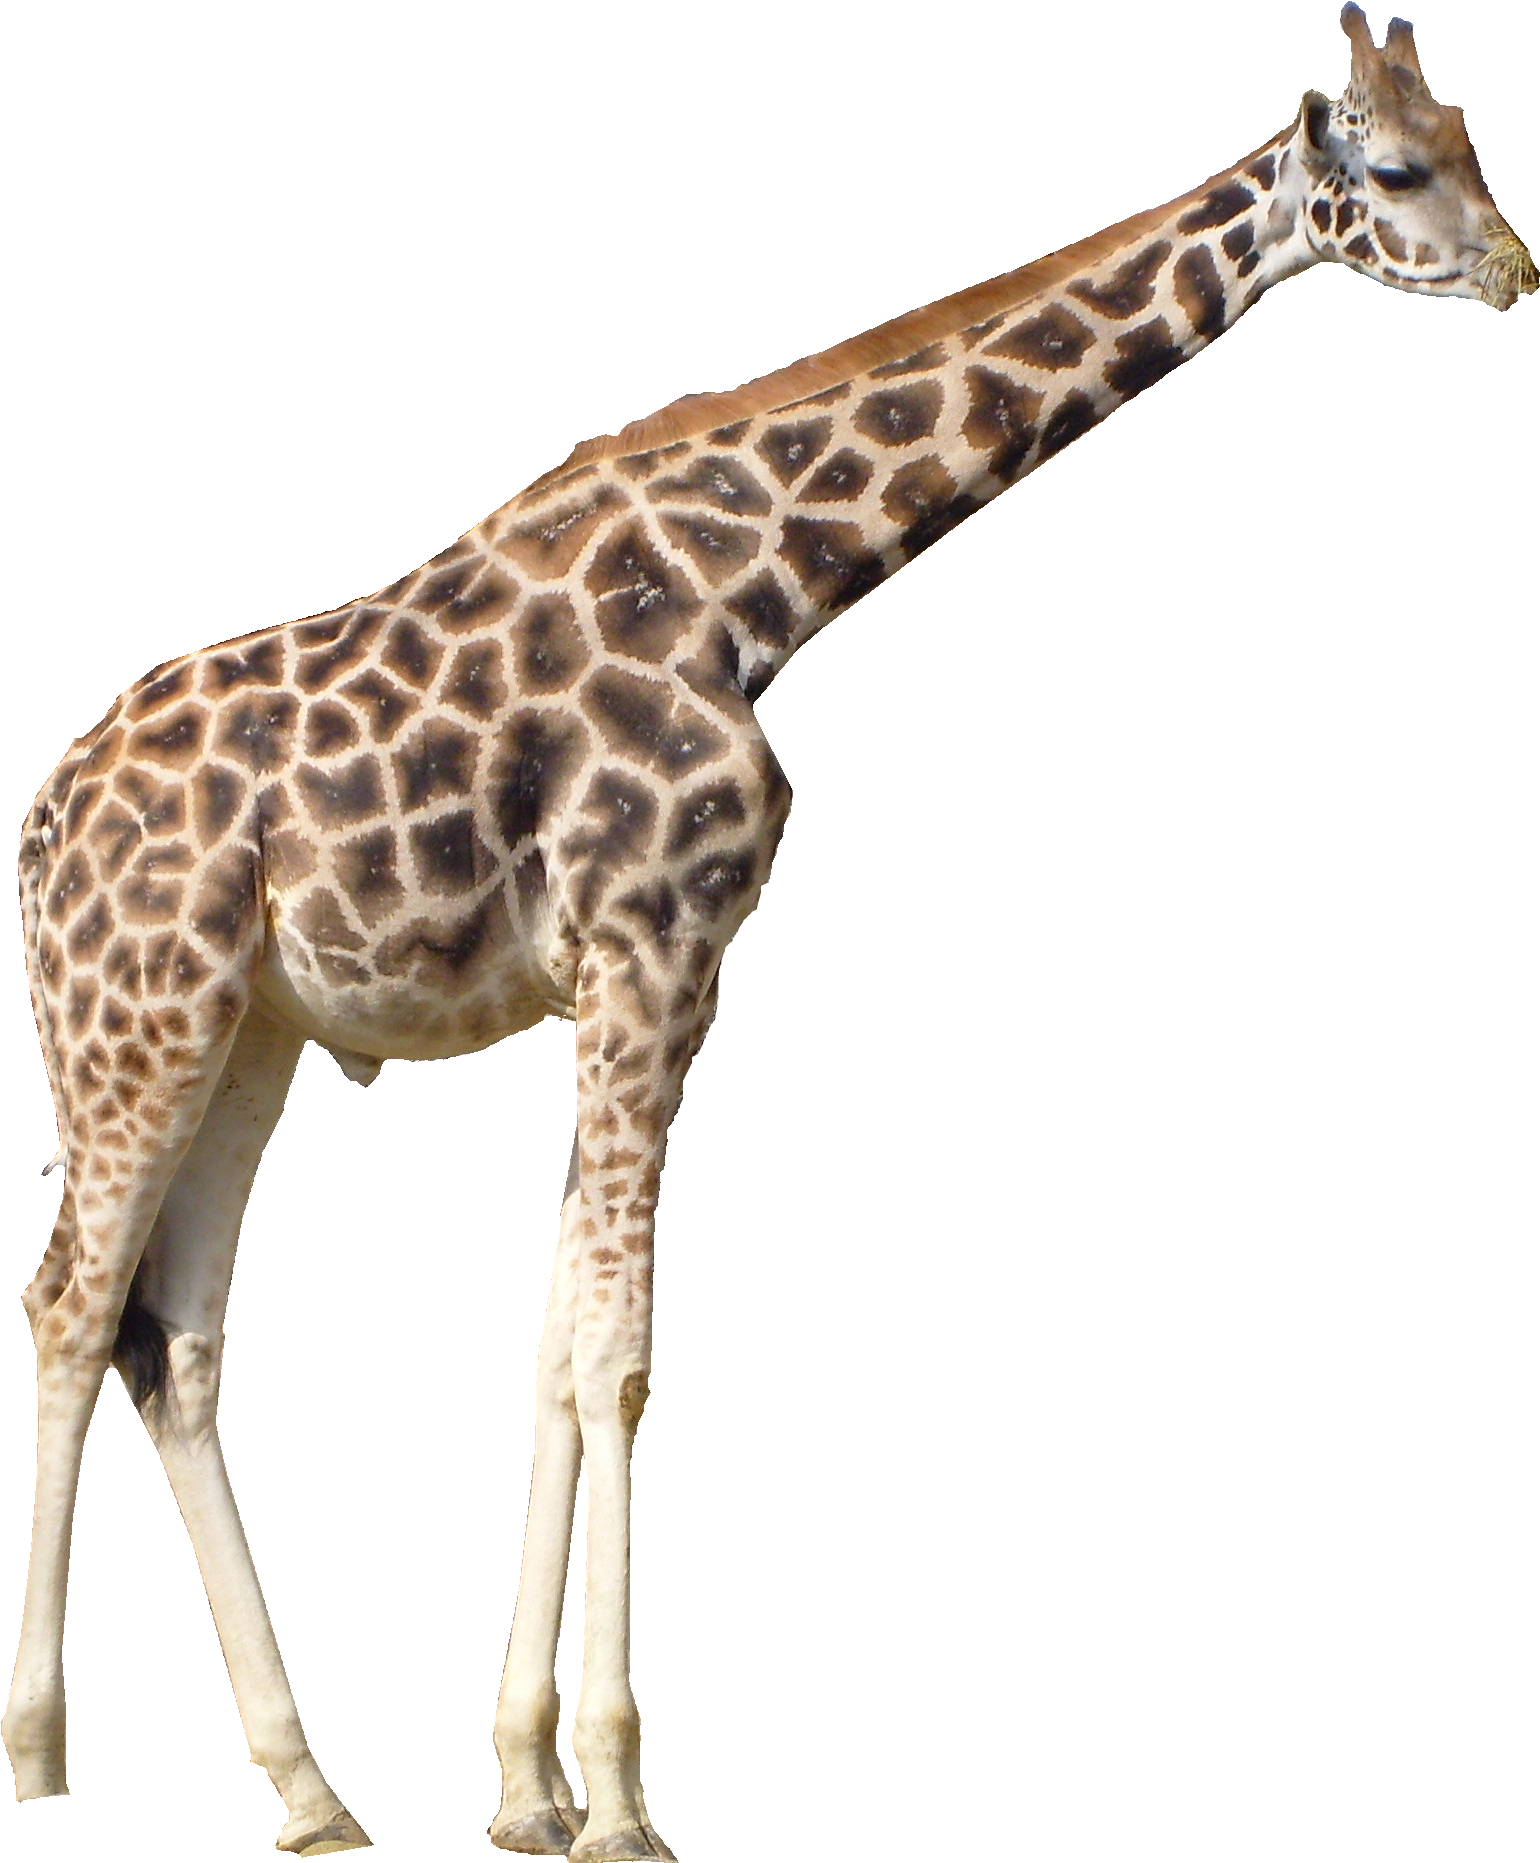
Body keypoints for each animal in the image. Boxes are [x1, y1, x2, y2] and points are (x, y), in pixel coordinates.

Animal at [5, 7, 1530, 1858]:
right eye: (1392, 166)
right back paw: (38, 1757)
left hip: (251, 1035)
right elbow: (617, 1358)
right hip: (132, 1017)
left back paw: (313, 1788)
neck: (758, 589)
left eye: (1467, 138)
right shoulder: (644, 951)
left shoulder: (672, 982)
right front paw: (616, 1794)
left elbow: (556, 1345)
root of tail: (37, 830)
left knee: (176, 1338)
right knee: (69, 1304)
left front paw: (527, 1782)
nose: (1518, 270)